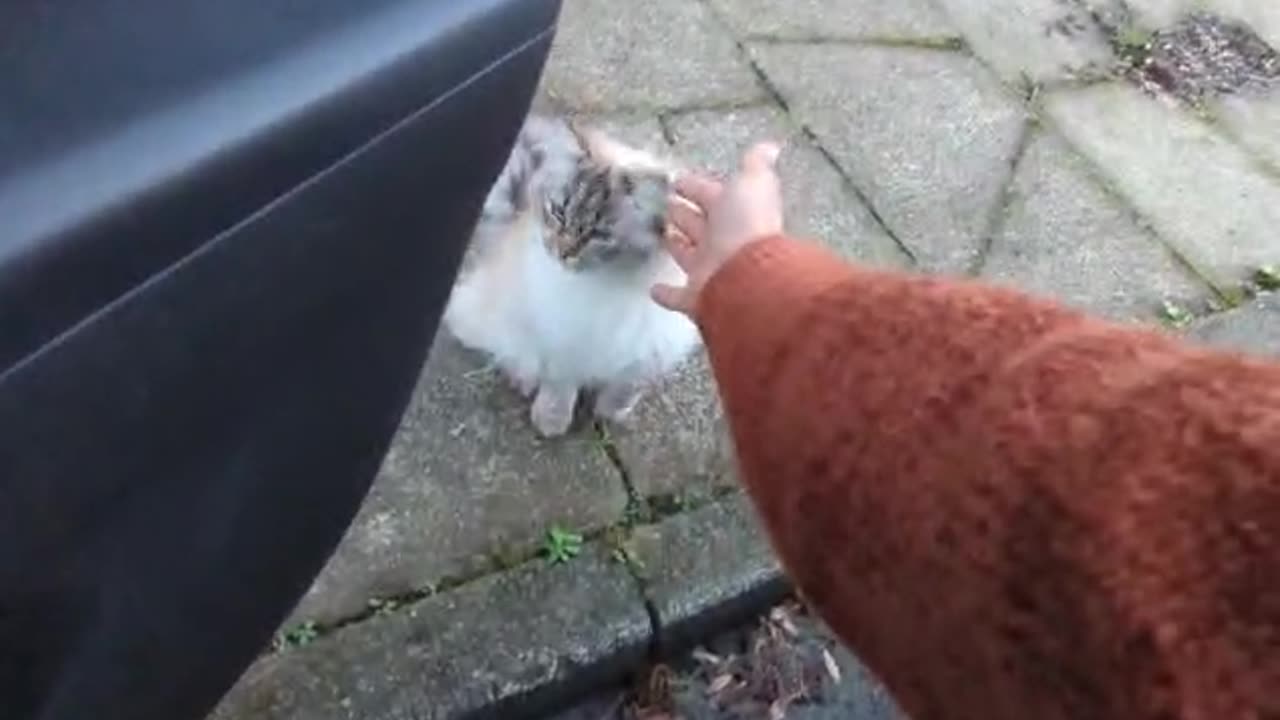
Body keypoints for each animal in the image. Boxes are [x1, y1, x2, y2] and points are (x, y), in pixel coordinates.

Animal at [440, 114, 701, 435]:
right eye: (559, 213)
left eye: (599, 234)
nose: (561, 251)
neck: (611, 282)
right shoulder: (562, 334)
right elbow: (560, 382)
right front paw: (551, 419)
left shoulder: (648, 346)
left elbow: (626, 386)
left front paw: (613, 412)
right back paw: (523, 379)